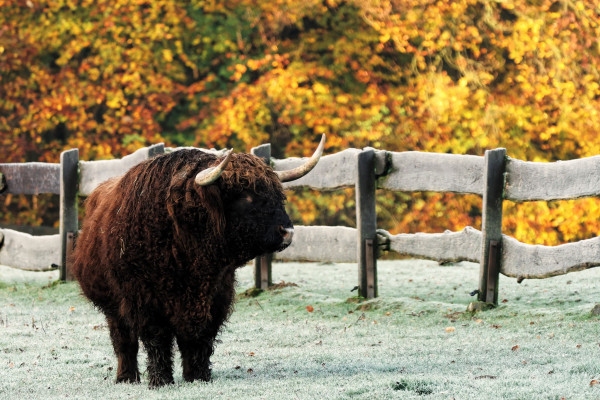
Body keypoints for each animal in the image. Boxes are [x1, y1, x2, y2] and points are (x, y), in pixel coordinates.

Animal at [72, 137, 326, 388]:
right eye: (246, 195)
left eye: (277, 194)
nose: (288, 231)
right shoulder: (144, 298)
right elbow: (157, 339)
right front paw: (160, 380)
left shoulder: (215, 296)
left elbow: (200, 338)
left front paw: (198, 376)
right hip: (113, 306)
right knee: (123, 340)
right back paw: (126, 377)